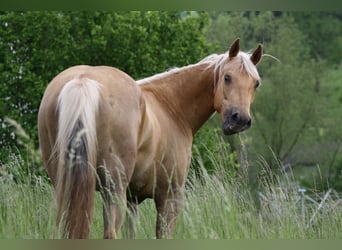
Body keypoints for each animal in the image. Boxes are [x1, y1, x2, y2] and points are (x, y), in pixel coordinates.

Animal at [38, 38, 262, 239]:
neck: (171, 105)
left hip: (66, 186)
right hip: (114, 190)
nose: (240, 119)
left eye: (256, 83)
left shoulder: (132, 201)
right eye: (227, 77)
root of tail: (84, 80)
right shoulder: (169, 198)